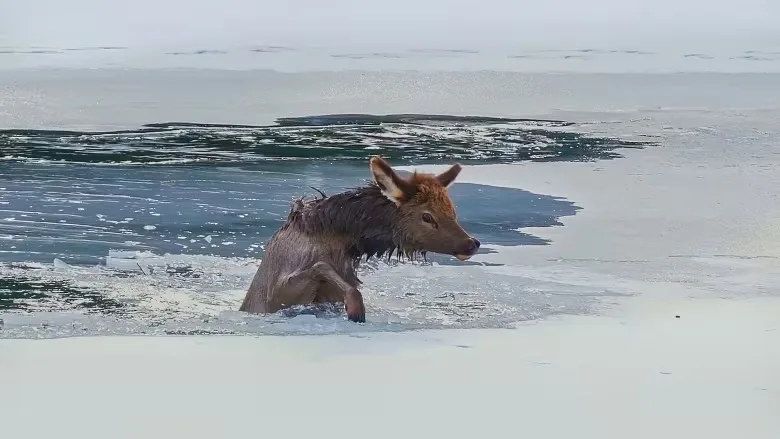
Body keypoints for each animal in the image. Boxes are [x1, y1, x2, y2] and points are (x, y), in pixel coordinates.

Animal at [239, 156, 482, 322]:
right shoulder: (275, 296)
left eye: (452, 210)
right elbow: (320, 267)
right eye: (427, 216)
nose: (471, 243)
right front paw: (356, 309)